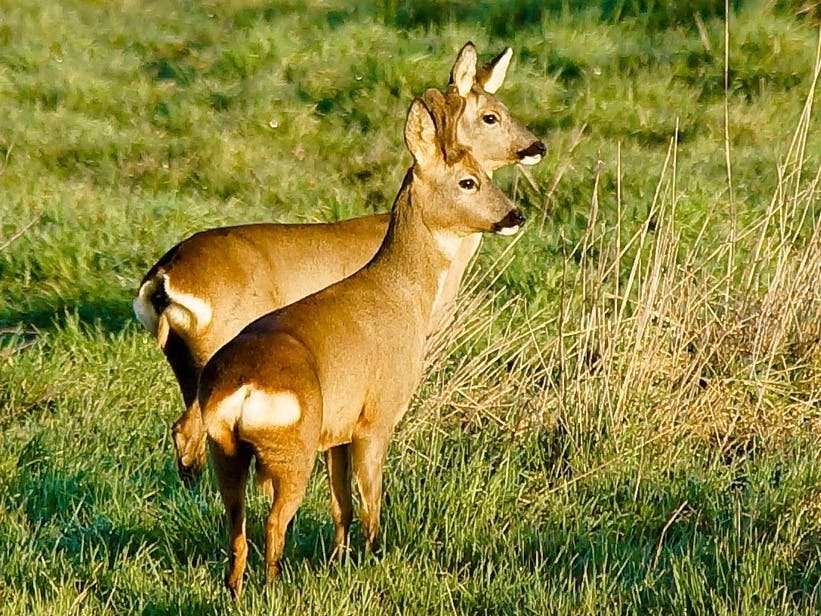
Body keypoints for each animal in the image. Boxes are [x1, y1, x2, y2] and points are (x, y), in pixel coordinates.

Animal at [195, 95, 524, 596]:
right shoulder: (376, 418)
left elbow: (342, 505)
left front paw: (340, 560)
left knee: (236, 524)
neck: (403, 296)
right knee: (273, 522)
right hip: (291, 447)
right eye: (469, 180)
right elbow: (372, 502)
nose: (515, 215)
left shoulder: (338, 429)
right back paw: (272, 586)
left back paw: (236, 588)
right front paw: (372, 559)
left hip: (226, 448)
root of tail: (242, 386)